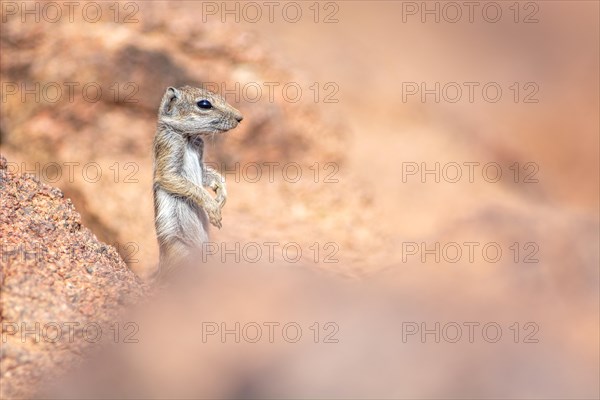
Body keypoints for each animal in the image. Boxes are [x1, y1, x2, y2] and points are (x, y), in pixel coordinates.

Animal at [151, 85, 243, 276]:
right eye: (204, 104)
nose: (240, 118)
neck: (189, 138)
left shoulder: (201, 153)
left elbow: (208, 176)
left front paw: (222, 195)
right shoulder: (169, 149)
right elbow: (180, 181)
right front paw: (214, 209)